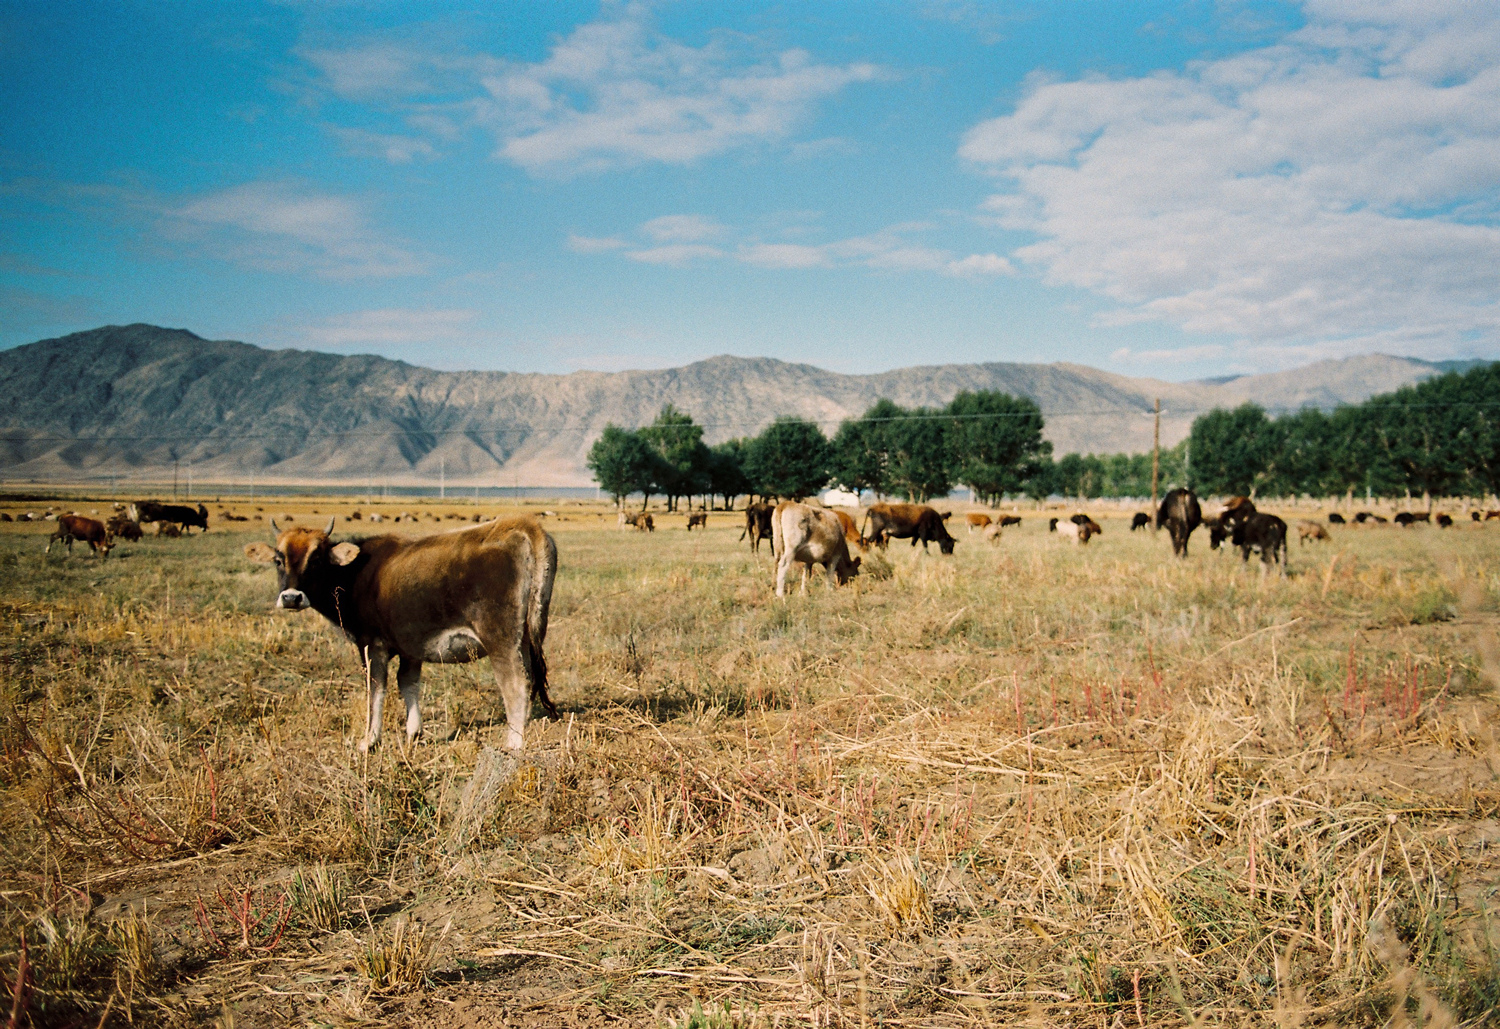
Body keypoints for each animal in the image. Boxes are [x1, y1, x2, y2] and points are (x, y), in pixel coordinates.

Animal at [244, 519, 558, 753]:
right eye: (278, 560)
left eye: (316, 559)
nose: (292, 597)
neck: (356, 574)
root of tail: (520, 525)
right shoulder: (411, 647)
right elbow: (408, 684)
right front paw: (414, 732)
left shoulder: (371, 646)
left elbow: (376, 689)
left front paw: (369, 741)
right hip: (525, 639)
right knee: (530, 680)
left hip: (501, 641)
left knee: (515, 685)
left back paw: (513, 743)